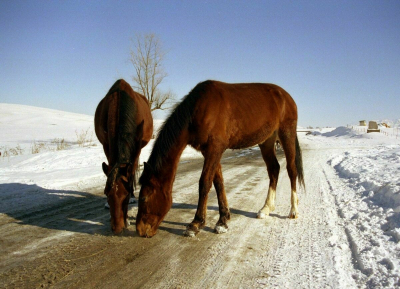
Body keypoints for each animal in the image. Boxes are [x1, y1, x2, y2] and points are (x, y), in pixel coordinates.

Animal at [95, 79, 153, 234]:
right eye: (106, 193)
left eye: (125, 196)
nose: (117, 228)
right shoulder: (106, 144)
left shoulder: (137, 145)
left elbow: (131, 171)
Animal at [136, 80, 304, 236]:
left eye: (143, 197)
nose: (140, 230)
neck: (199, 109)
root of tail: (286, 97)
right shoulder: (209, 151)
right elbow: (218, 183)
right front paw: (223, 220)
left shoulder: (215, 149)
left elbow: (204, 183)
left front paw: (196, 223)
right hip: (267, 141)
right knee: (274, 169)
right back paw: (266, 209)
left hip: (286, 134)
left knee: (291, 170)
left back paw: (294, 210)